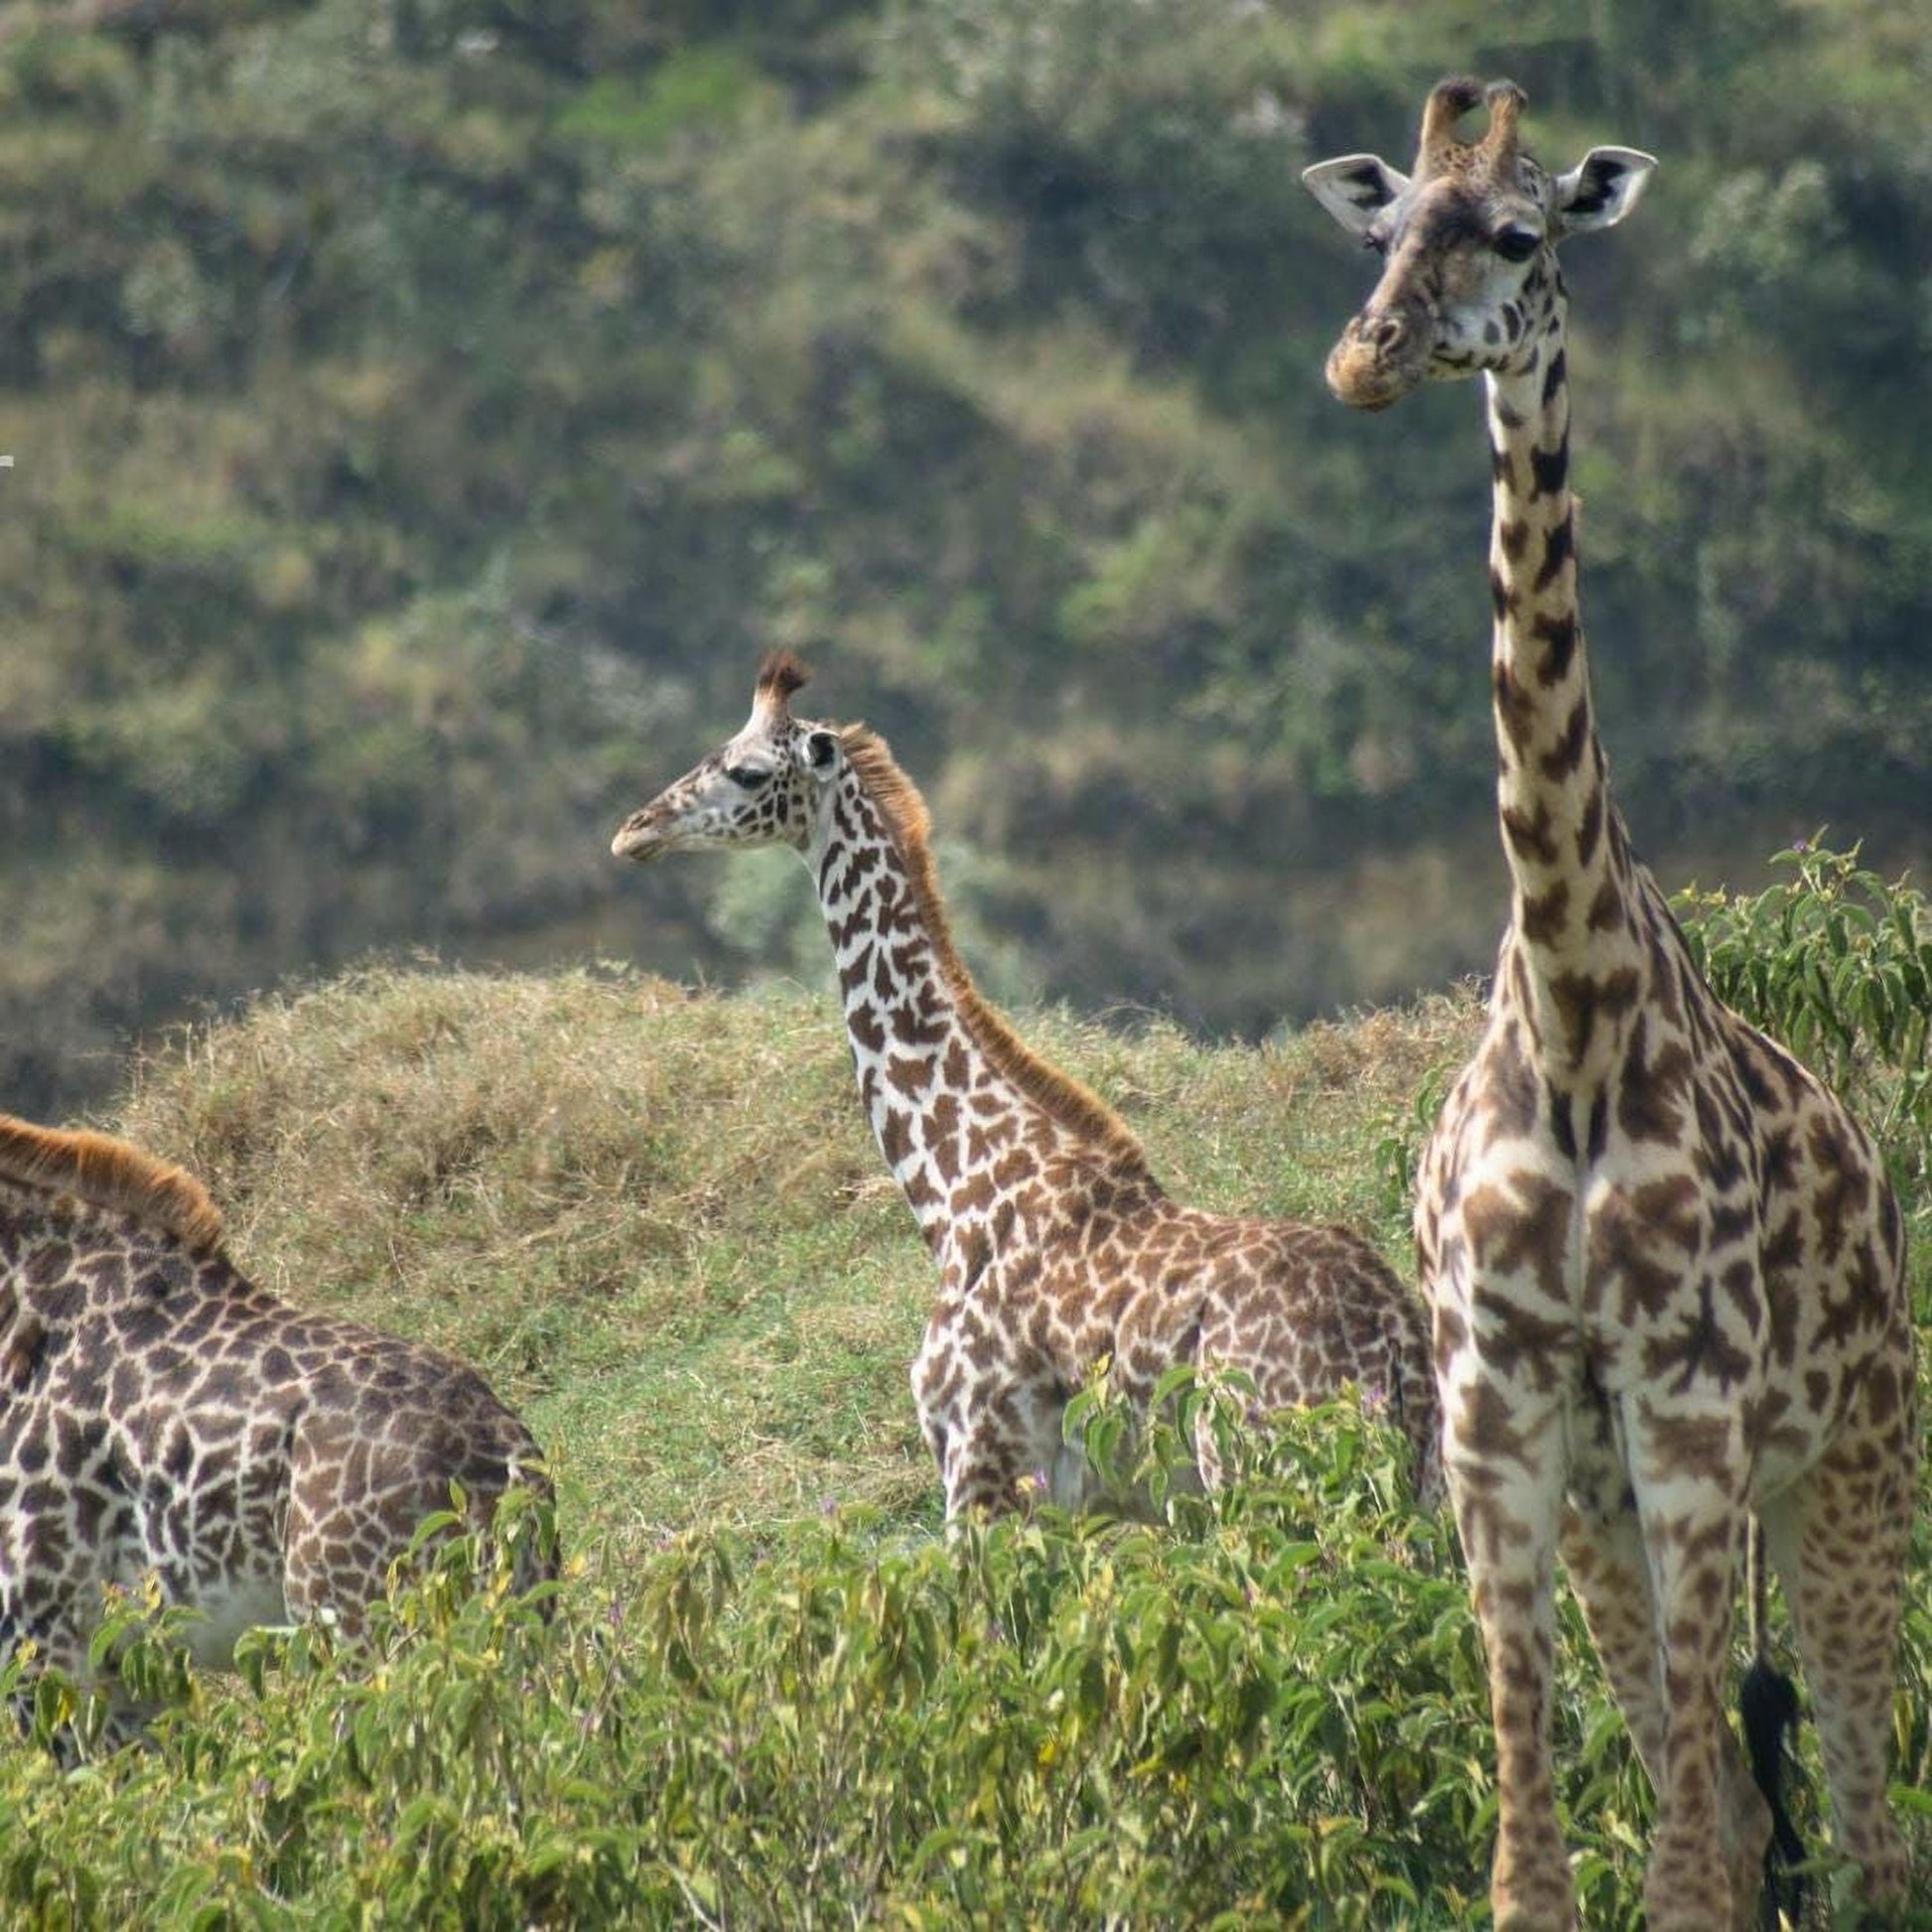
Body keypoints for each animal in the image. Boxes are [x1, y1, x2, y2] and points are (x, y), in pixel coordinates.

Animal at [611, 654, 1442, 1518]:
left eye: (745, 770)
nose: (635, 829)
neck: (958, 1187)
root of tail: (1396, 1346)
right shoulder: (1105, 1505)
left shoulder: (980, 1459)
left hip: (1264, 1470)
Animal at [1304, 79, 1918, 1930]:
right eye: (1381, 227)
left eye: (1517, 233)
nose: (1364, 357)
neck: (1572, 1018)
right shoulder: (1499, 1412)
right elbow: (1545, 1852)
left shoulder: (1691, 1414)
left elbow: (1698, 1865)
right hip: (1618, 1499)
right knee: (1729, 1772)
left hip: (1850, 1461)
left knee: (1859, 1814)